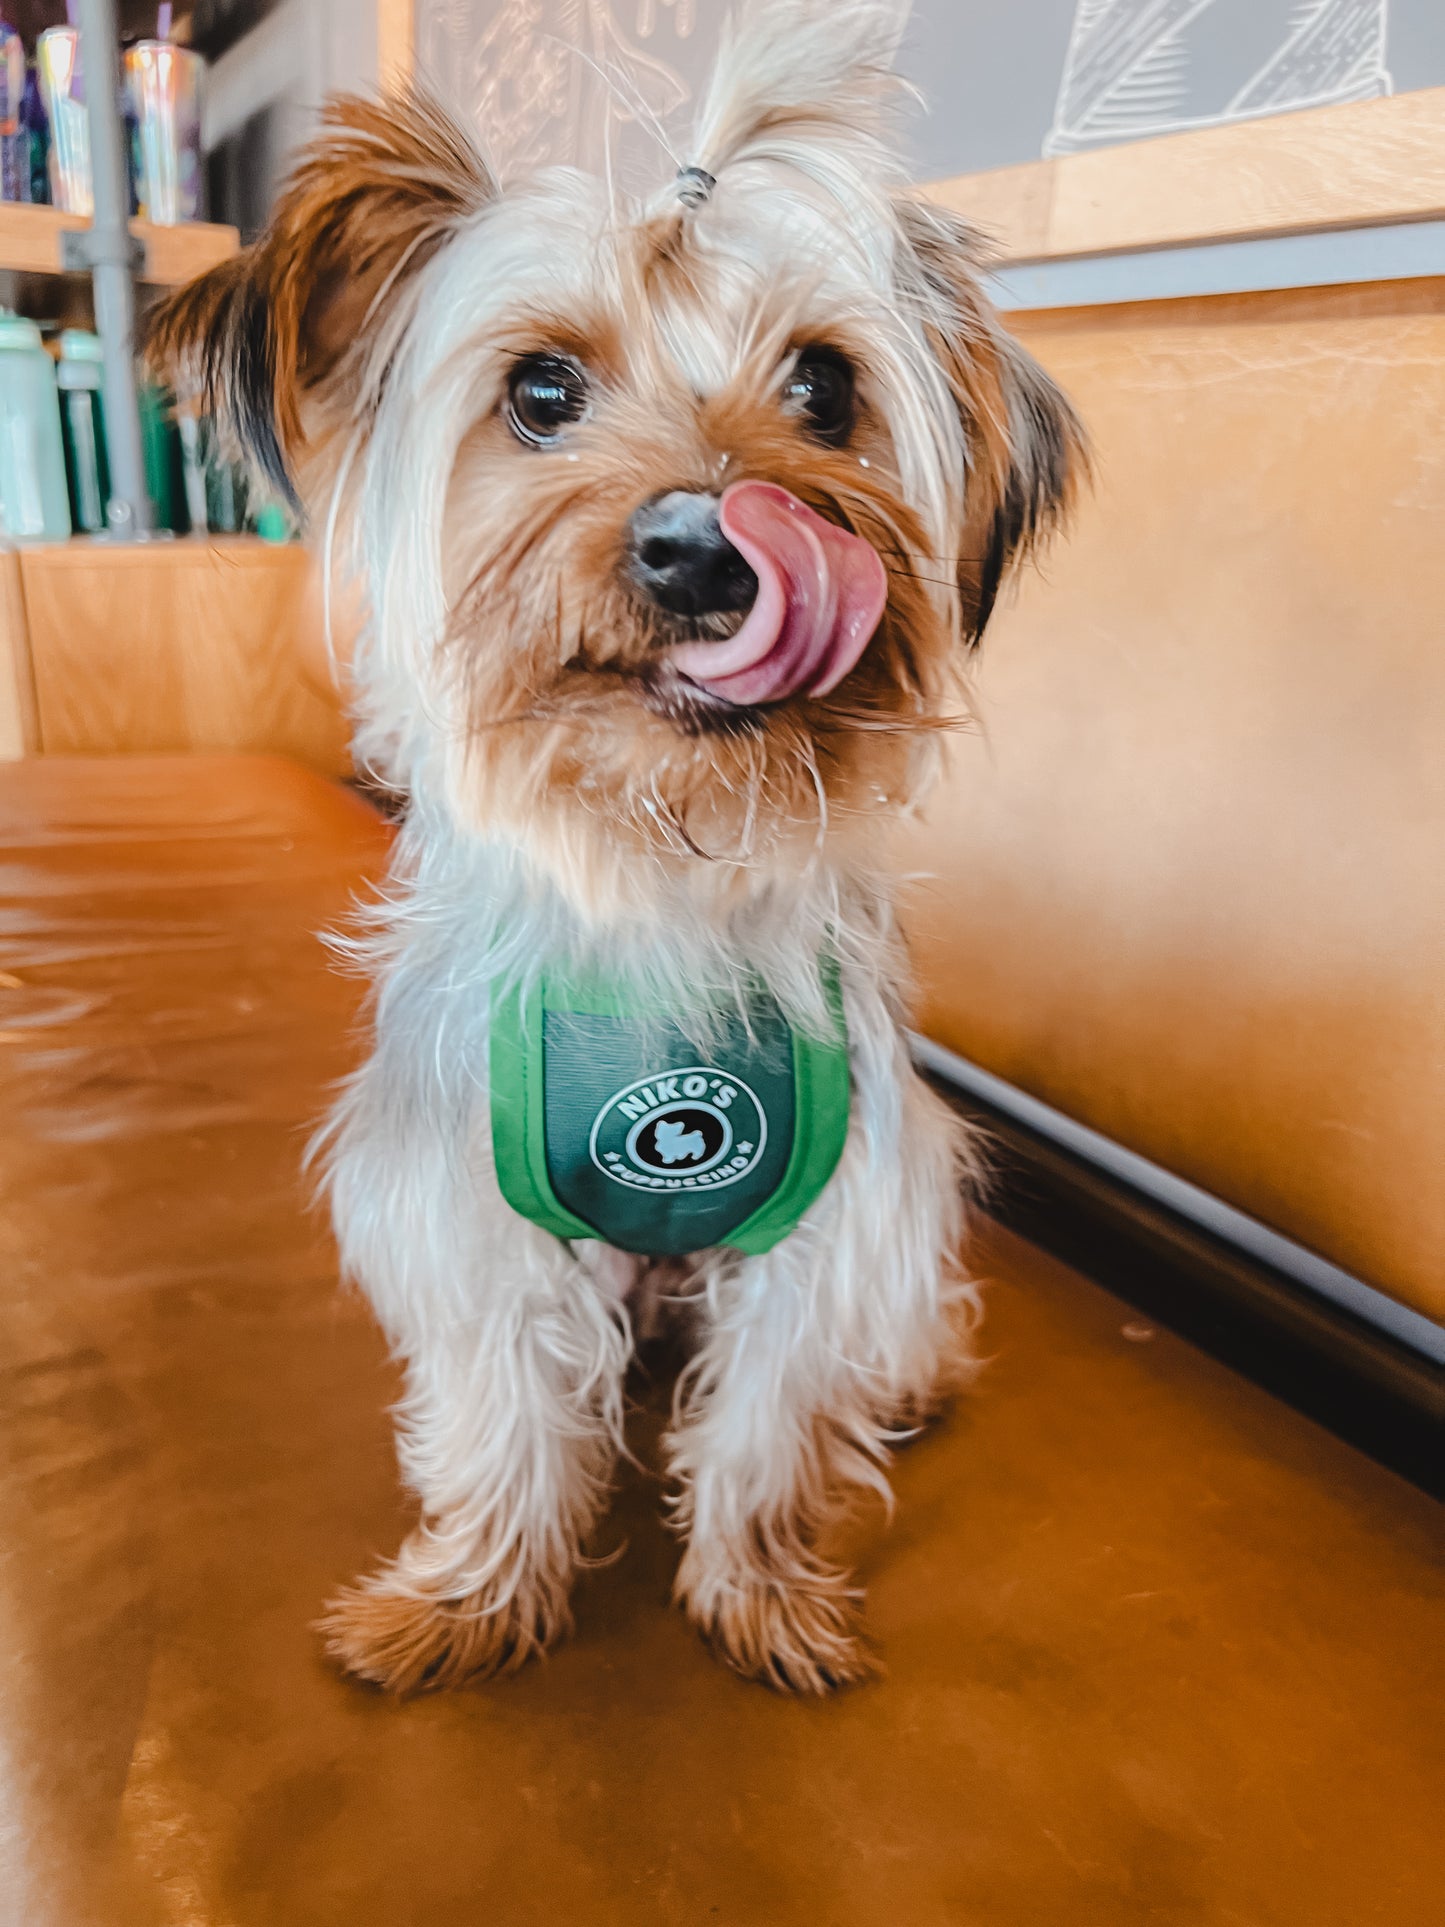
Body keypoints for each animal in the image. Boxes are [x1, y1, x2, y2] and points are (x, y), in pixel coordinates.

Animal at [153, 0, 1078, 1688]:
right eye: (538, 392)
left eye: (825, 388)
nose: (706, 544)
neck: (662, 863)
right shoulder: (472, 1207)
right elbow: (505, 1410)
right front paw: (468, 1600)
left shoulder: (833, 1205)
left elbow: (773, 1414)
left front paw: (759, 1588)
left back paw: (907, 1377)